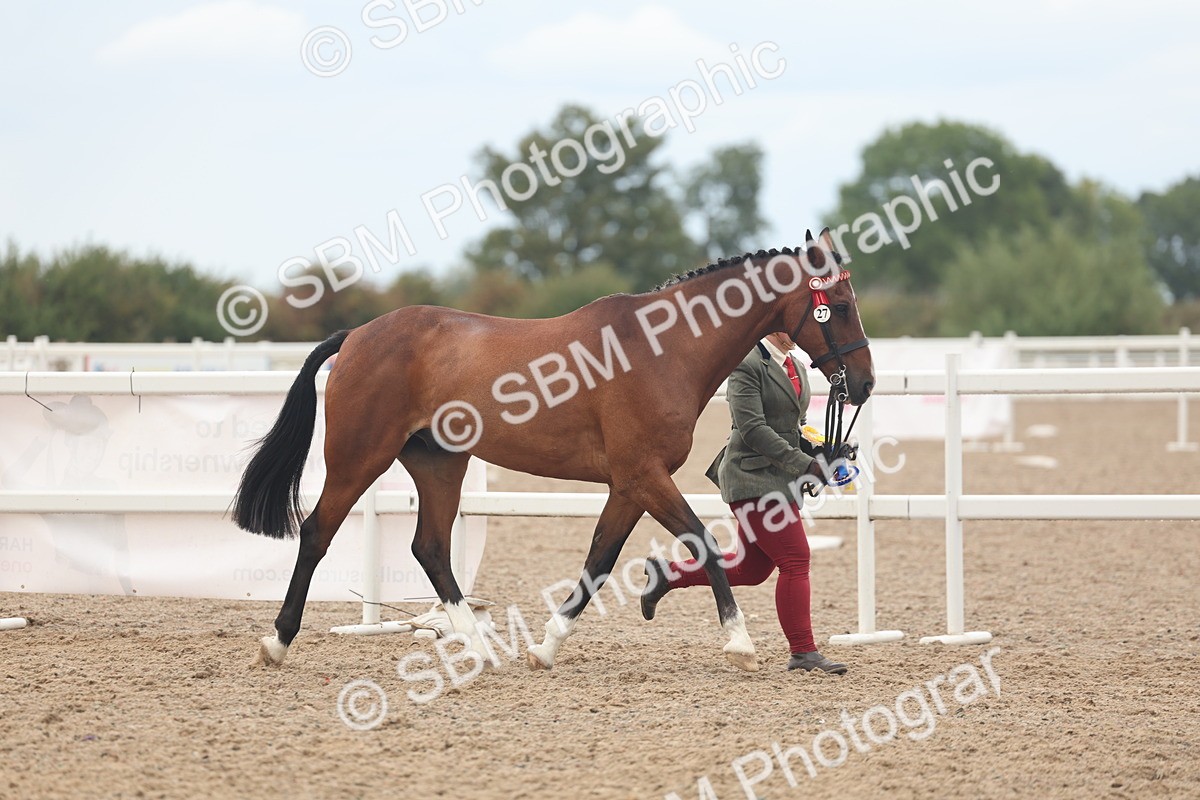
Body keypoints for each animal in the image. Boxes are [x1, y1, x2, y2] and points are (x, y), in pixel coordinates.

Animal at [232, 227, 874, 672]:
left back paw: (481, 647)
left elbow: (599, 560)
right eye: (839, 306)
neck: (664, 348)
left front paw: (545, 647)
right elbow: (702, 542)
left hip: (440, 463)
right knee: (318, 532)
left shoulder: (630, 484)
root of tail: (358, 335)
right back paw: (276, 642)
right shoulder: (645, 476)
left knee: (431, 548)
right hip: (359, 457)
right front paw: (739, 643)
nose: (865, 383)